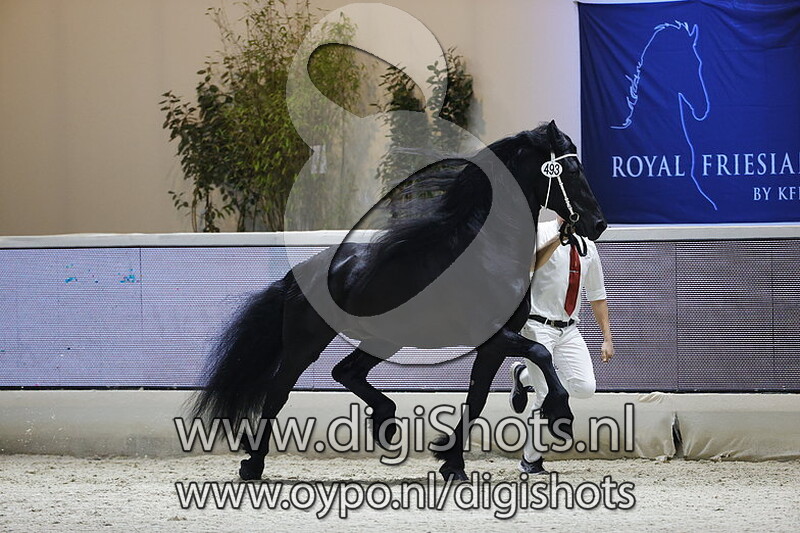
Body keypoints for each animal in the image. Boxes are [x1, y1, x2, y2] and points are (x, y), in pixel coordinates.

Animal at [191, 120, 607, 482]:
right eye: (571, 171)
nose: (598, 224)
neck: (489, 249)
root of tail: (301, 273)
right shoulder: (494, 336)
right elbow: (541, 353)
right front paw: (560, 414)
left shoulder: (493, 345)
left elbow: (477, 399)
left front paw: (451, 462)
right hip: (303, 345)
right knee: (278, 394)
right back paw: (252, 465)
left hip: (384, 339)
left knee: (346, 372)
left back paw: (386, 421)